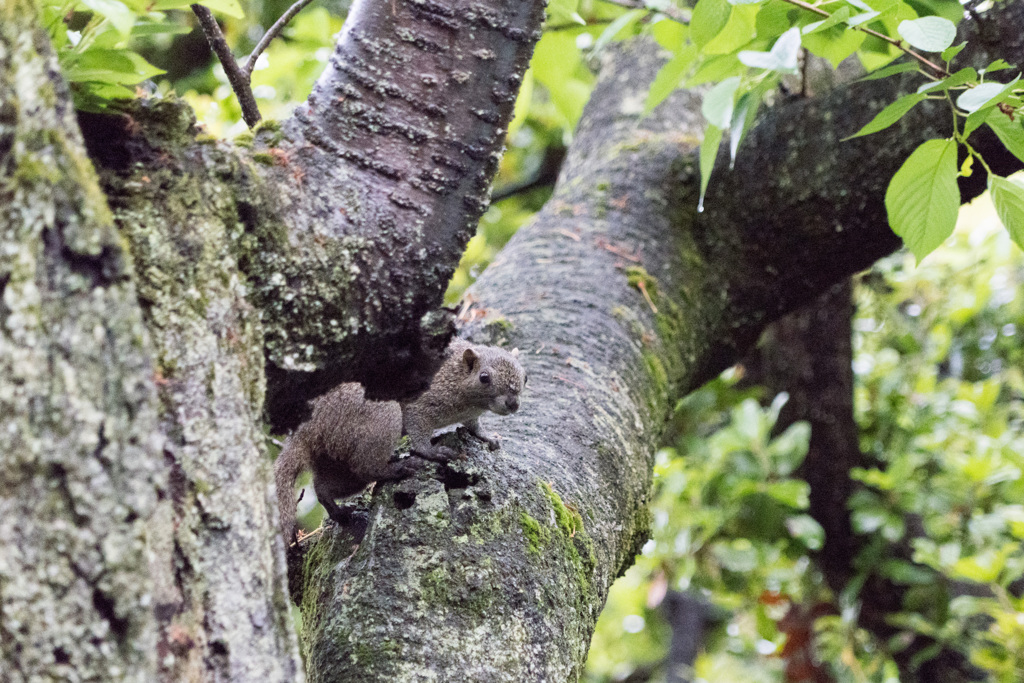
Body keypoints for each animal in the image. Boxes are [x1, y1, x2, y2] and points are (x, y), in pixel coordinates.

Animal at [274, 339, 528, 540]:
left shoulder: (469, 414)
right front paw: (432, 452)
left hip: (338, 464)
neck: (454, 376)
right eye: (484, 377)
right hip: (382, 418)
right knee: (368, 467)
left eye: (525, 376)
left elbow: (473, 425)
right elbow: (419, 433)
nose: (513, 404)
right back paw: (400, 467)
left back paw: (340, 513)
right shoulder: (421, 406)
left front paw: (487, 436)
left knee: (325, 488)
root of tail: (308, 431)